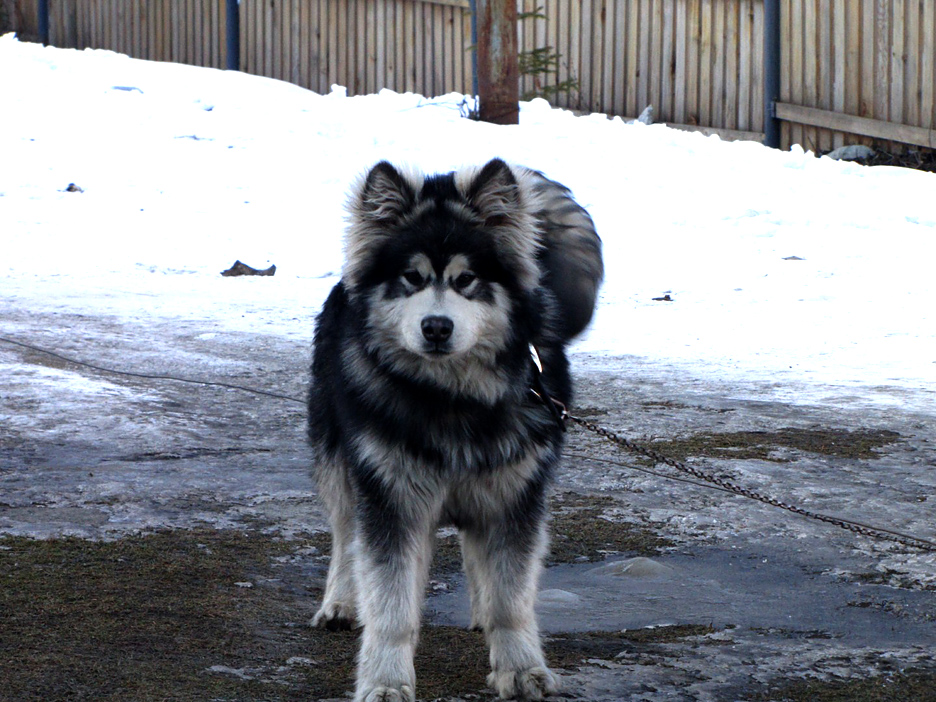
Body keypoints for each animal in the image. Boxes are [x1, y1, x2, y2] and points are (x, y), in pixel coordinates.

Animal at [310, 161, 604, 702]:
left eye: (466, 279)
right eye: (412, 278)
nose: (436, 327)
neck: (453, 398)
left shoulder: (513, 496)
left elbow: (511, 596)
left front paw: (520, 667)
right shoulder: (393, 498)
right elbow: (392, 604)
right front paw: (385, 680)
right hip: (336, 455)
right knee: (344, 533)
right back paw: (340, 601)